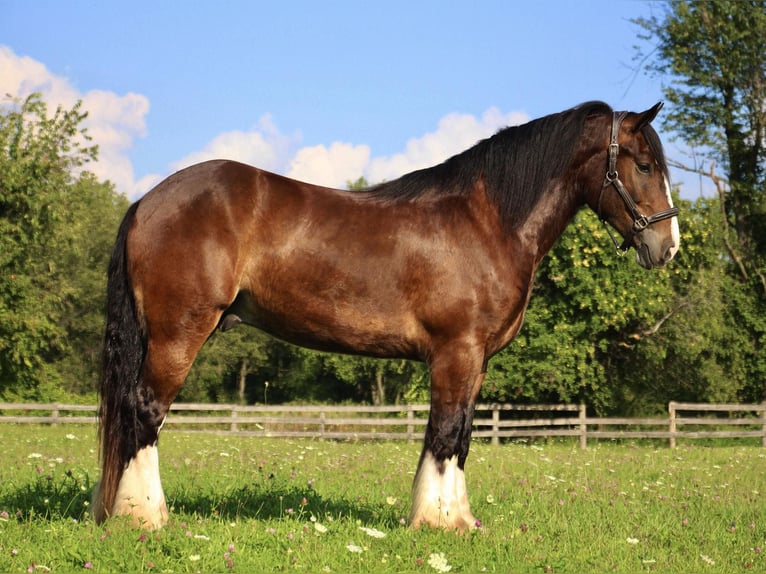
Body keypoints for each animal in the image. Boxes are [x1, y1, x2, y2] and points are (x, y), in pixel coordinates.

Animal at [91, 102, 684, 532]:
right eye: (644, 164)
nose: (668, 246)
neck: (489, 221)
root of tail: (148, 200)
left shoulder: (476, 361)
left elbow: (462, 435)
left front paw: (460, 520)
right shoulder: (456, 351)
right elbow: (445, 432)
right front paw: (436, 522)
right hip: (178, 333)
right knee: (145, 412)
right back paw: (145, 517)